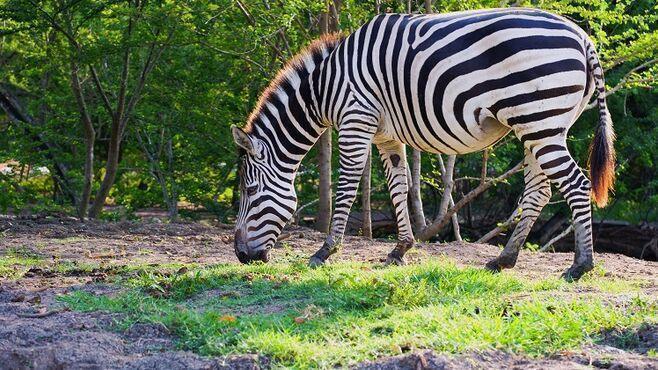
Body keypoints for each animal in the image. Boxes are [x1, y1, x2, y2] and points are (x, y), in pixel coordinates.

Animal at [231, 7, 608, 280]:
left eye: (249, 191)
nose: (240, 256)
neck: (325, 88)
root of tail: (582, 37)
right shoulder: (386, 136)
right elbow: (399, 187)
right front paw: (400, 249)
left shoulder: (356, 121)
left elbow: (347, 188)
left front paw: (325, 251)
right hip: (543, 126)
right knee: (539, 190)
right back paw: (504, 259)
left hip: (539, 120)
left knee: (577, 184)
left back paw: (580, 265)